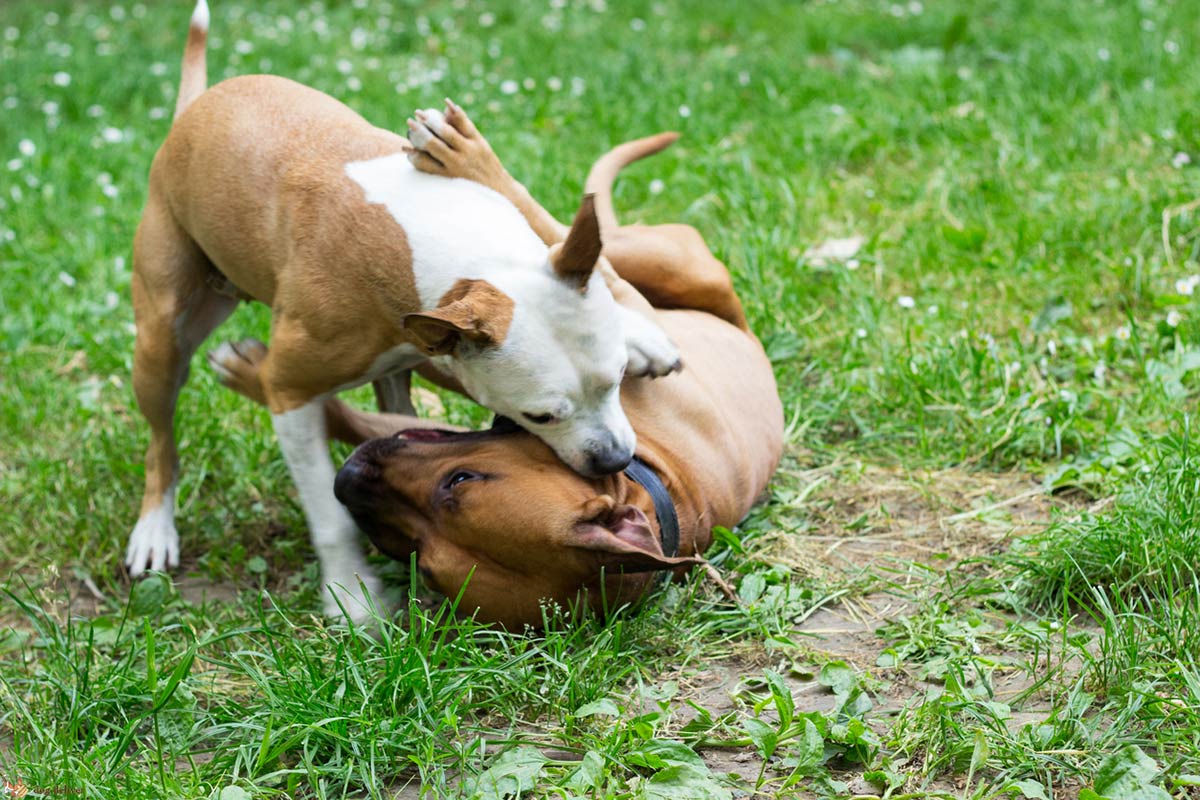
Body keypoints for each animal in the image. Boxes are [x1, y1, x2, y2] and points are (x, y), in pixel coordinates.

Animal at [129, 0, 686, 618]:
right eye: (540, 416)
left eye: (616, 379)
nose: (614, 461)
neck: (446, 248)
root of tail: (194, 109)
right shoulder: (290, 392)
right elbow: (329, 516)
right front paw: (351, 593)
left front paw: (641, 334)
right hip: (162, 340)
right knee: (161, 442)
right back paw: (154, 529)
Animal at [213, 104, 787, 623]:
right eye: (461, 478)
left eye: (419, 557)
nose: (348, 480)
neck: (665, 490)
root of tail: (742, 321)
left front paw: (250, 372)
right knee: (572, 241)